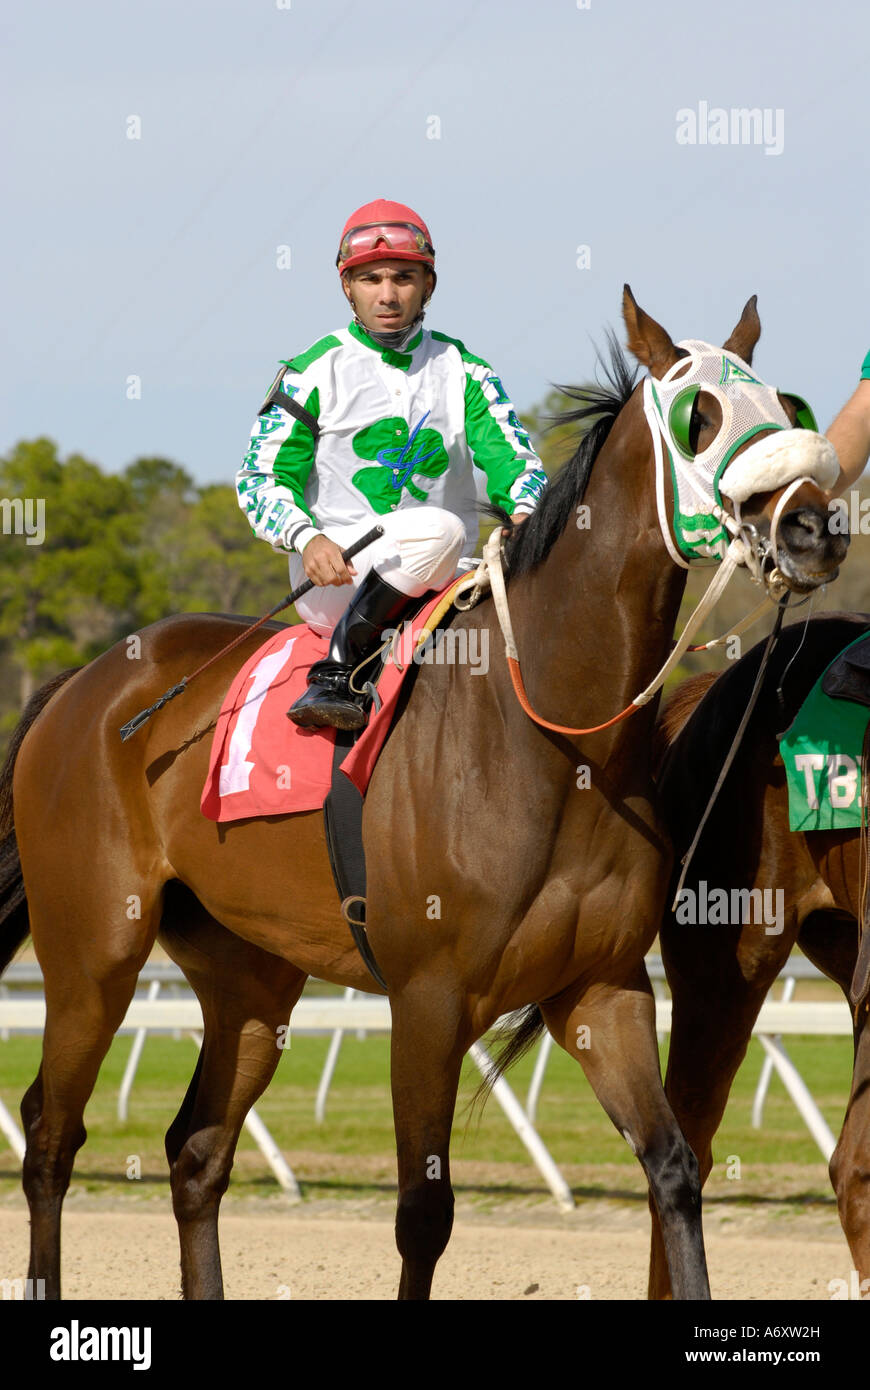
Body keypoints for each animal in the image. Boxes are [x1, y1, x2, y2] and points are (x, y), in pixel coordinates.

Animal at [0, 288, 844, 1301]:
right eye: (699, 417)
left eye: (787, 407)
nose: (813, 527)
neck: (552, 741)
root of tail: (83, 685)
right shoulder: (428, 1000)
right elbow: (424, 1214)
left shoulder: (603, 988)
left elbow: (675, 1169)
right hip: (94, 950)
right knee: (50, 1133)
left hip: (250, 974)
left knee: (196, 1149)